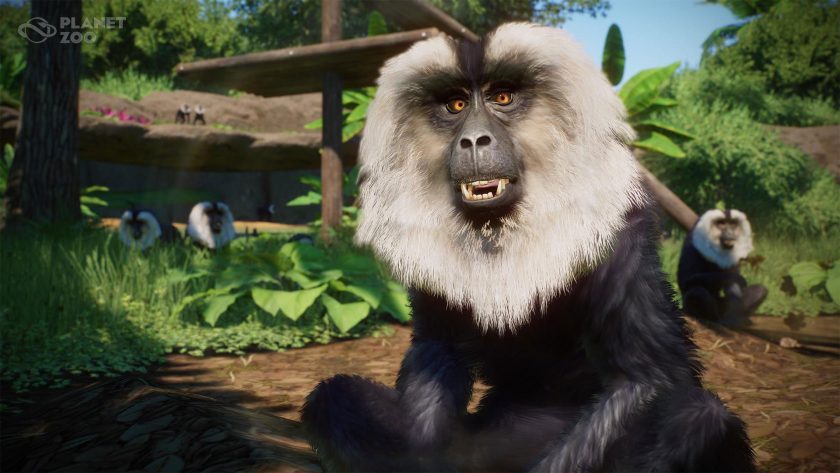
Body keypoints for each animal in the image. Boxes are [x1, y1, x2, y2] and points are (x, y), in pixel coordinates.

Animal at [301, 23, 754, 473]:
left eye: (503, 97)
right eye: (455, 104)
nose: (474, 140)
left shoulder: (622, 228)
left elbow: (645, 380)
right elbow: (436, 348)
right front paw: (421, 456)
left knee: (699, 416)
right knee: (332, 397)